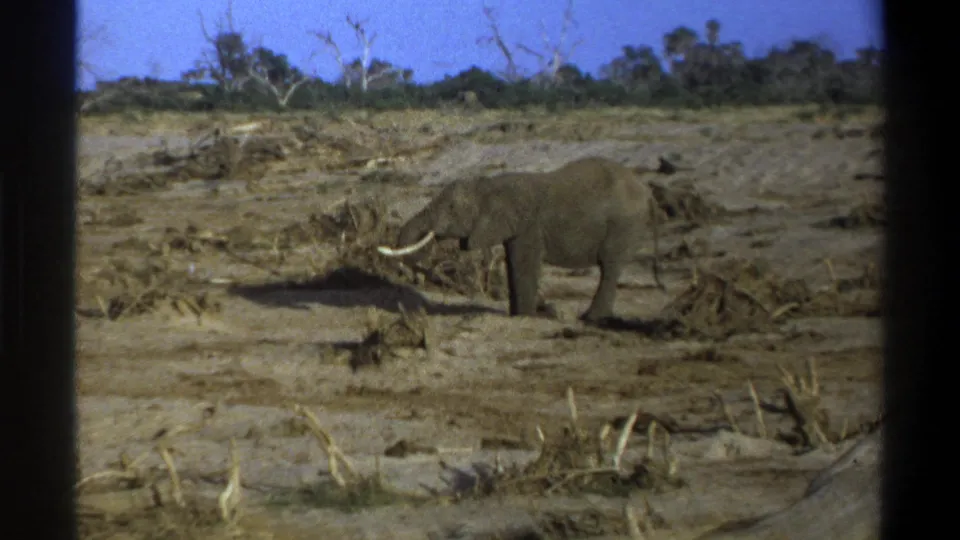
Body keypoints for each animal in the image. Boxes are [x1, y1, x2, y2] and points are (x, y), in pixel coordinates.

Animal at [378, 156, 665, 322]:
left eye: (450, 208)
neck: (490, 186)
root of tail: (648, 192)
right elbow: (512, 262)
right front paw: (519, 314)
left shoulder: (529, 227)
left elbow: (523, 264)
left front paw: (525, 316)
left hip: (623, 225)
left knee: (609, 267)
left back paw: (591, 319)